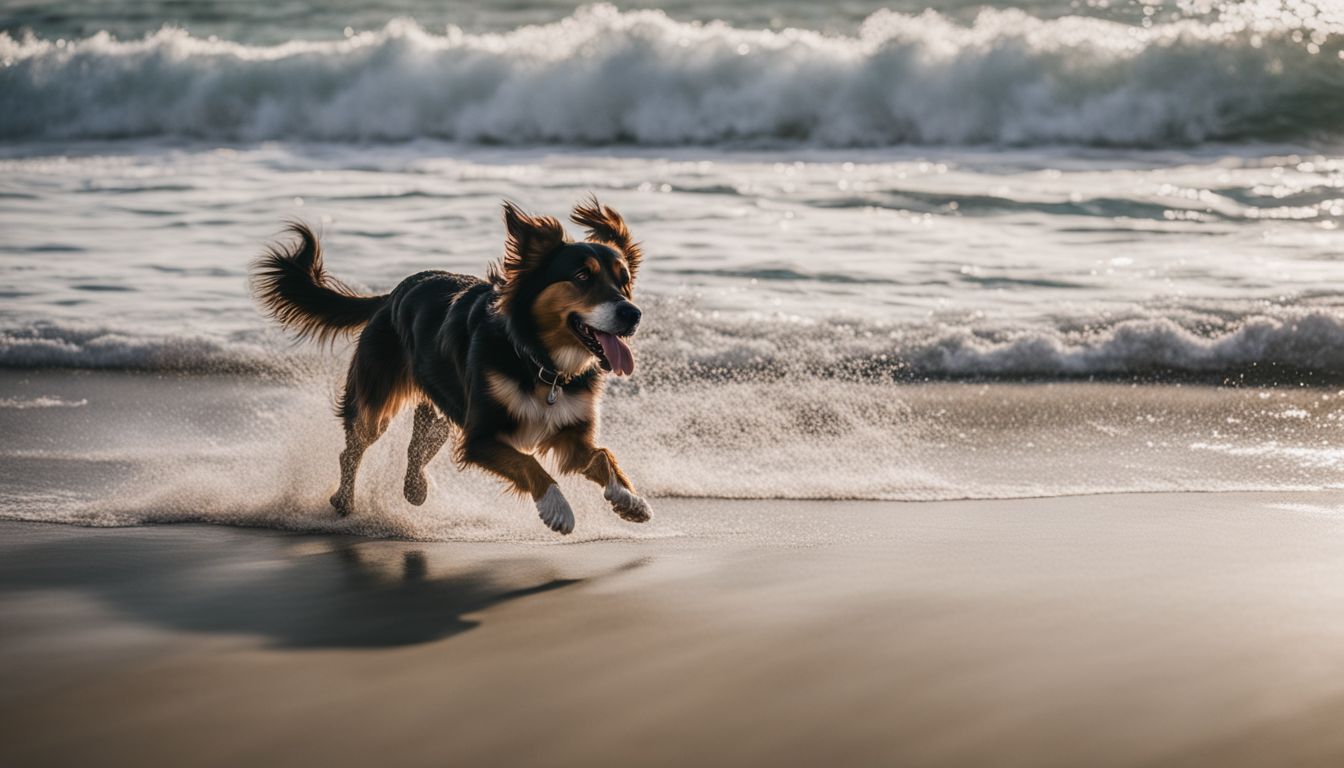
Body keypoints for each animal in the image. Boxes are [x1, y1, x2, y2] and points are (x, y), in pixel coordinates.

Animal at [254, 197, 653, 535]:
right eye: (583, 277)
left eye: (624, 280)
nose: (633, 314)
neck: (537, 359)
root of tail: (392, 294)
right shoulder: (480, 436)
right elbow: (529, 464)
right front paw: (557, 507)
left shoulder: (570, 432)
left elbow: (602, 455)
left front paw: (629, 498)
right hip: (376, 402)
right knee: (353, 447)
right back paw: (343, 501)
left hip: (440, 415)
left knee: (417, 449)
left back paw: (415, 489)